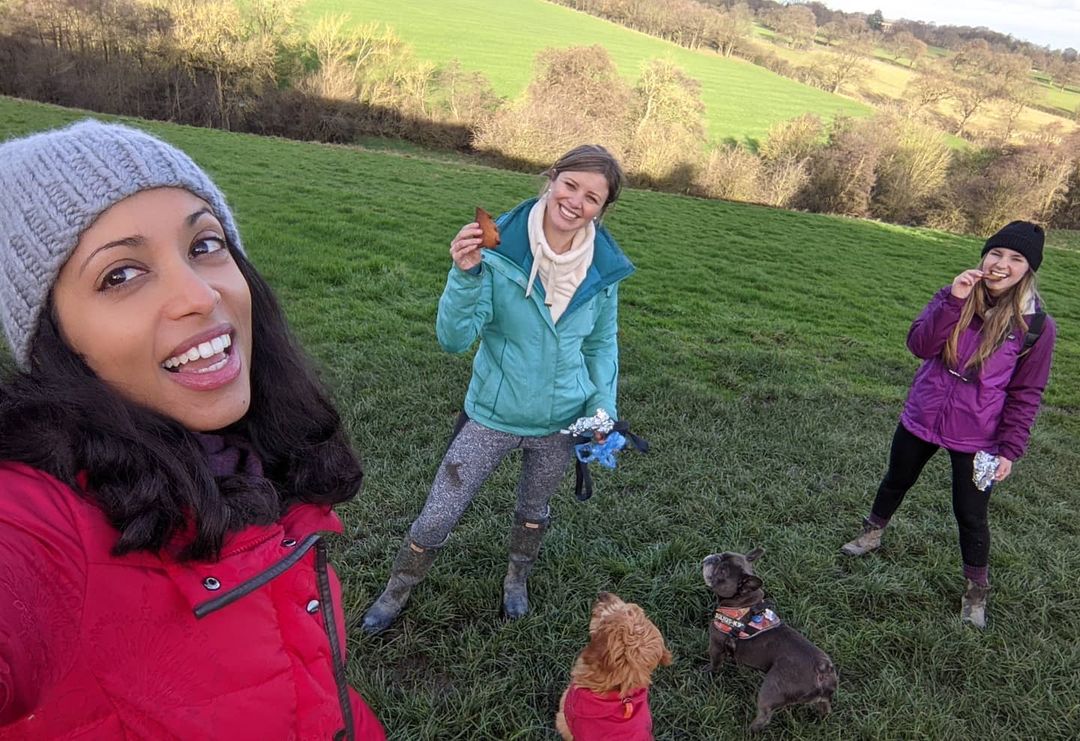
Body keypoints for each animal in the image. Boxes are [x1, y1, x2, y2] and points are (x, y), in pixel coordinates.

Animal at [699, 548, 833, 734]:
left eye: (722, 571)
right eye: (722, 554)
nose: (714, 557)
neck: (742, 603)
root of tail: (823, 669)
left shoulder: (716, 645)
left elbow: (715, 663)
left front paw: (708, 671)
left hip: (770, 690)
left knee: (764, 716)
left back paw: (748, 730)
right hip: (821, 699)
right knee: (825, 707)